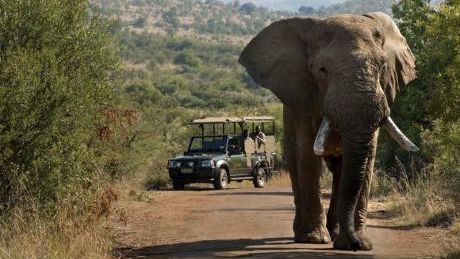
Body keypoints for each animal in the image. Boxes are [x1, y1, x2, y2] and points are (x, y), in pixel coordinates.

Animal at [239, 12, 418, 252]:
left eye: (382, 67)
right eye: (322, 70)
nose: (355, 244)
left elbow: (368, 161)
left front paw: (360, 243)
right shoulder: (304, 98)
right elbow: (308, 157)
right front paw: (315, 239)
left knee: (340, 170)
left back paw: (335, 233)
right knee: (296, 163)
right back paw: (306, 234)